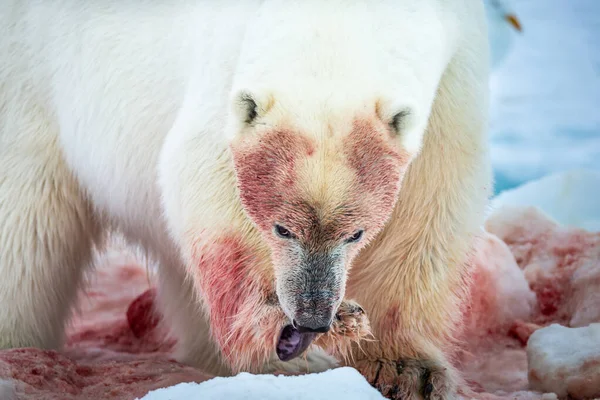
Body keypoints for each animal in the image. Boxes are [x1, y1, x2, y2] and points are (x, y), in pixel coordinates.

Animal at [0, 1, 492, 398]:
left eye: (356, 233)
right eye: (281, 228)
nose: (312, 317)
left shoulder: (454, 79)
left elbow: (429, 205)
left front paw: (407, 370)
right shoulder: (224, 79)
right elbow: (206, 189)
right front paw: (283, 342)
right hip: (29, 86)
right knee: (24, 235)